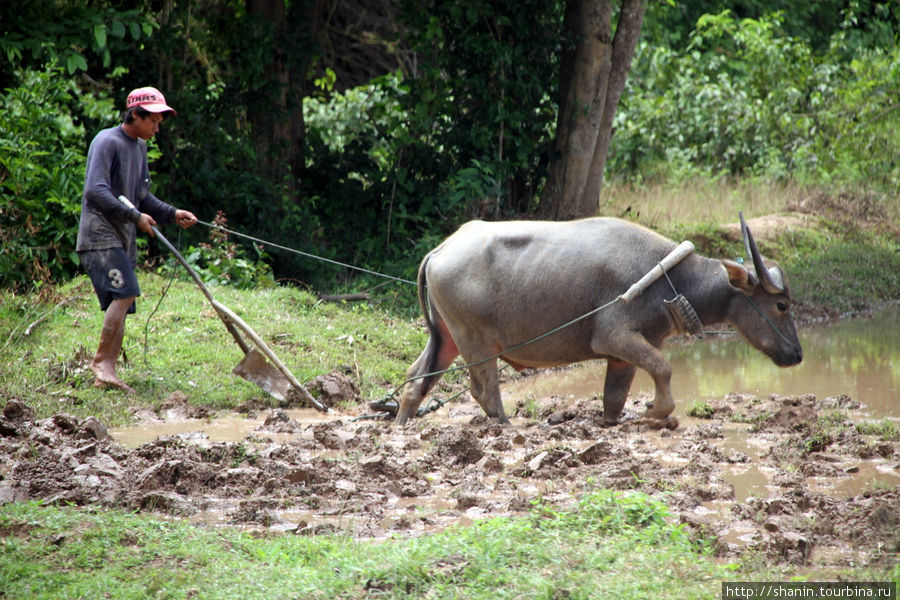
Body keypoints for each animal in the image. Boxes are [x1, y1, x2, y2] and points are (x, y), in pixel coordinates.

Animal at [398, 216, 804, 426]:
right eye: (782, 305)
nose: (797, 355)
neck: (670, 280)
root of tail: (441, 249)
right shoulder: (613, 338)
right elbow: (664, 368)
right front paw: (655, 412)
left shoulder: (623, 355)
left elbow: (615, 397)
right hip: (475, 341)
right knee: (483, 390)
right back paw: (505, 425)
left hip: (446, 336)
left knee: (415, 381)